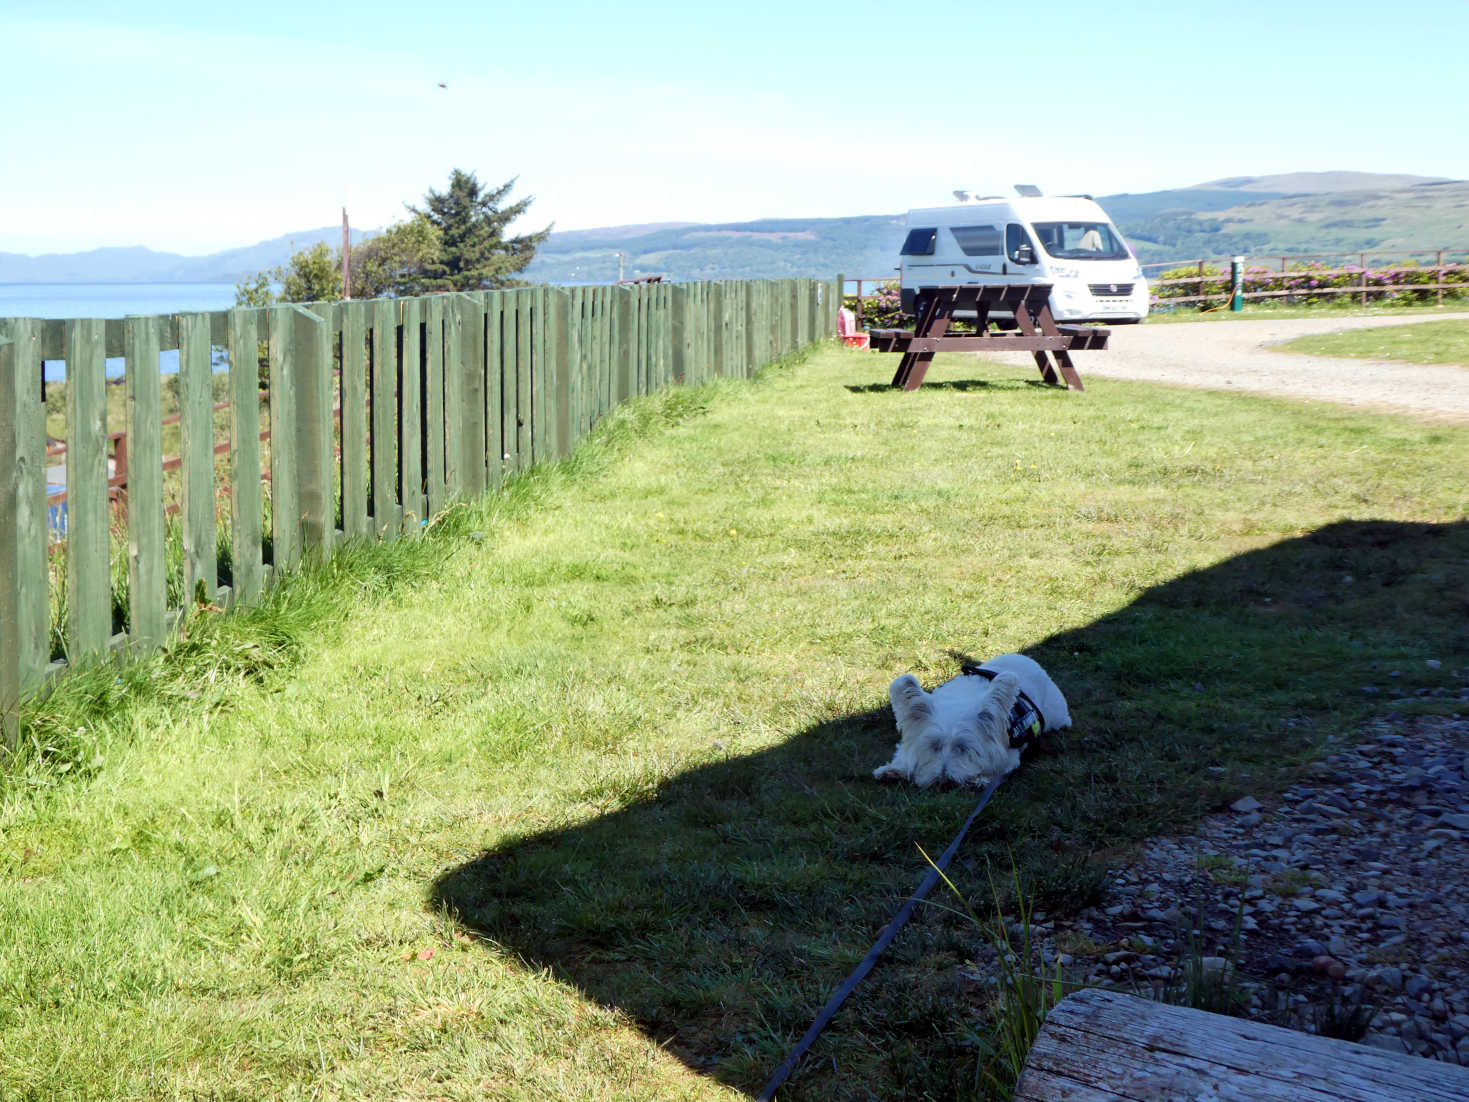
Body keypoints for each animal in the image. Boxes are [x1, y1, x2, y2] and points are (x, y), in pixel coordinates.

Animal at [869, 652, 1069, 787]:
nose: (944, 781)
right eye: (934, 746)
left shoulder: (1008, 756)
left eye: (964, 748)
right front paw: (892, 770)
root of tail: (1028, 659)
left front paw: (978, 779)